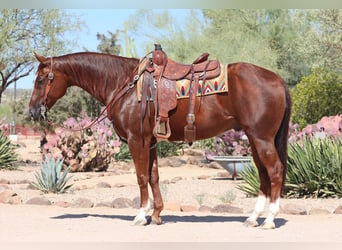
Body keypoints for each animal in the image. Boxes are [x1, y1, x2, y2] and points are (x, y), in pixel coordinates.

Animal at [30, 51, 292, 229]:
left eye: (41, 80)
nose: (33, 111)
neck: (123, 83)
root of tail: (278, 79)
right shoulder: (151, 141)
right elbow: (154, 176)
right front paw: (156, 214)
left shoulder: (137, 140)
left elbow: (141, 176)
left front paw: (140, 215)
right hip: (255, 139)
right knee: (263, 174)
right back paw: (253, 218)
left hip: (262, 138)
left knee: (275, 171)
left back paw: (269, 219)